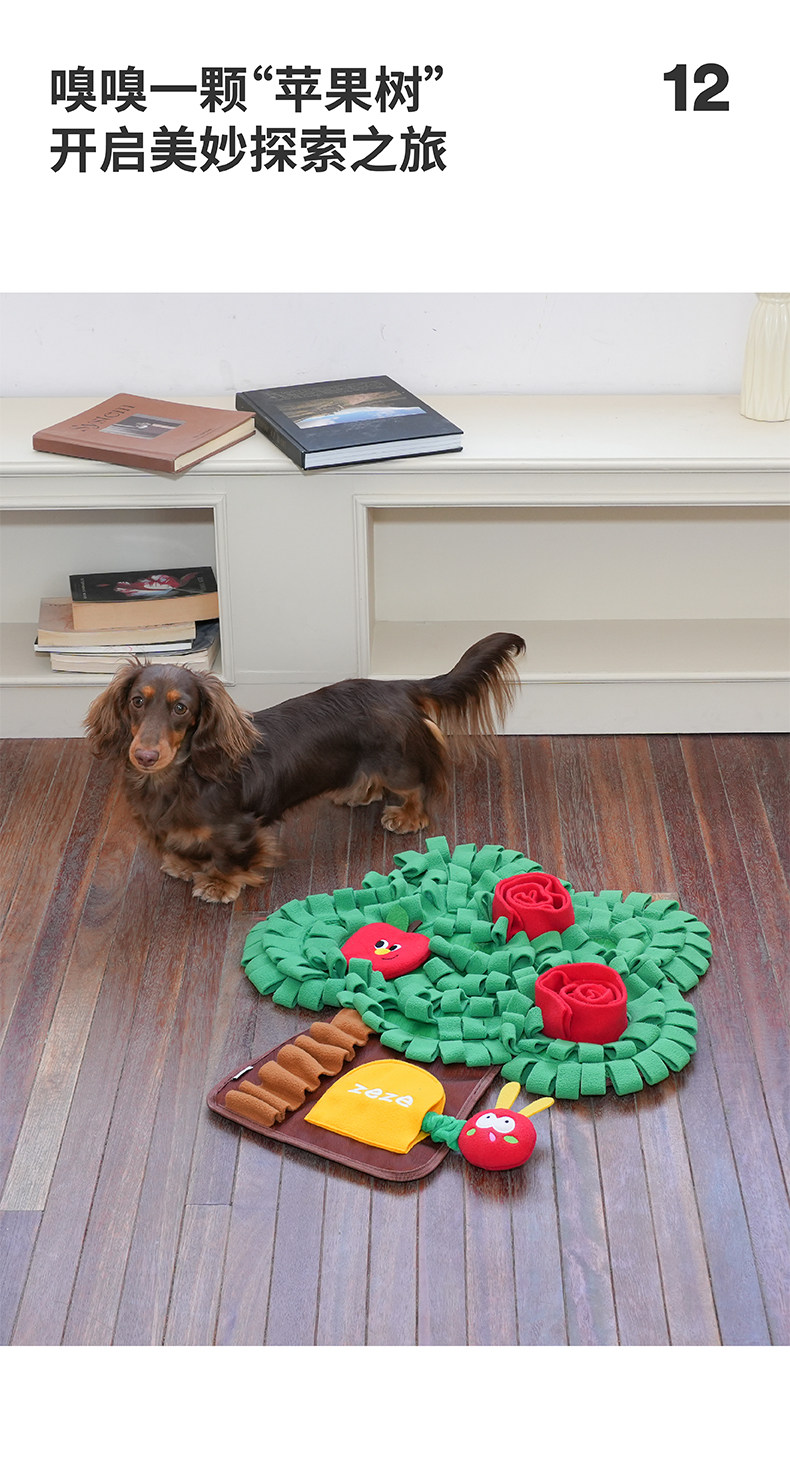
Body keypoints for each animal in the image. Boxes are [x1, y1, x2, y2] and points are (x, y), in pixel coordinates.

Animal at [84, 632, 525, 903]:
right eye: (137, 701)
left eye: (181, 708)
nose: (145, 756)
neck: (178, 778)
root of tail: (395, 685)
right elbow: (181, 846)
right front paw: (183, 864)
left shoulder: (237, 829)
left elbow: (230, 857)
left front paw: (219, 883)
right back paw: (355, 791)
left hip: (396, 763)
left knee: (414, 786)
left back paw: (407, 816)